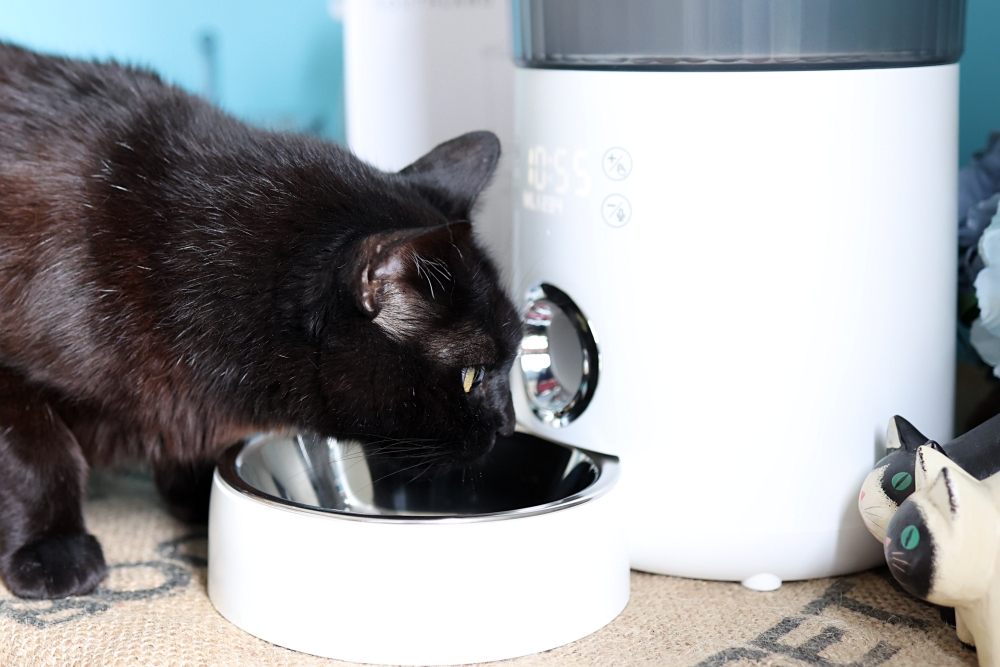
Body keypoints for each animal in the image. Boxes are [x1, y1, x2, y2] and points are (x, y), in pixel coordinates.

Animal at [0, 45, 516, 600]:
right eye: (471, 376)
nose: (508, 425)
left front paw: (196, 492)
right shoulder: (13, 378)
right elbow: (40, 455)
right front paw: (55, 549)